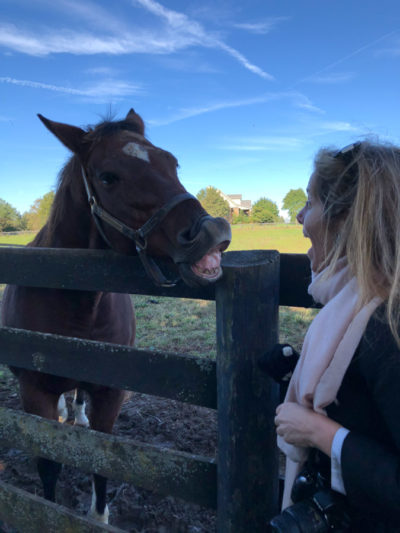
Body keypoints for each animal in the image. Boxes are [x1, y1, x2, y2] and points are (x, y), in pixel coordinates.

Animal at [0, 109, 231, 524]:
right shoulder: (35, 395)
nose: (212, 232)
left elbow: (104, 456)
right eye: (108, 177)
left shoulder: (111, 391)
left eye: (172, 162)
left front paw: (98, 516)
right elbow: (48, 464)